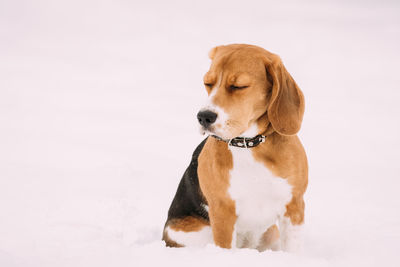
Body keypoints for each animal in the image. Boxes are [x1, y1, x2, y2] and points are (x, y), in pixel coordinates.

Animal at [161, 44, 308, 253]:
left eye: (238, 86)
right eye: (208, 83)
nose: (204, 117)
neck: (249, 144)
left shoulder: (294, 206)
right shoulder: (223, 211)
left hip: (271, 234)